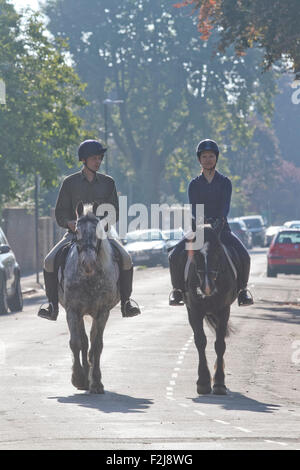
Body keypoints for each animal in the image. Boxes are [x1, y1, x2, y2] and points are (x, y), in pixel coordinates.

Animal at [57, 202, 119, 392]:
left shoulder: (102, 311)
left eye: (99, 231)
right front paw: (78, 378)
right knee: (84, 341)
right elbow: (76, 343)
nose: (89, 263)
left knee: (91, 341)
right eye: (76, 231)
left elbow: (97, 345)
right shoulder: (73, 310)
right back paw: (84, 377)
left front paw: (97, 382)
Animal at [184, 226, 238, 394]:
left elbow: (220, 344)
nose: (206, 287)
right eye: (196, 255)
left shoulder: (224, 310)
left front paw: (219, 382)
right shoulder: (194, 311)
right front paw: (203, 381)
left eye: (218, 252)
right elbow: (200, 341)